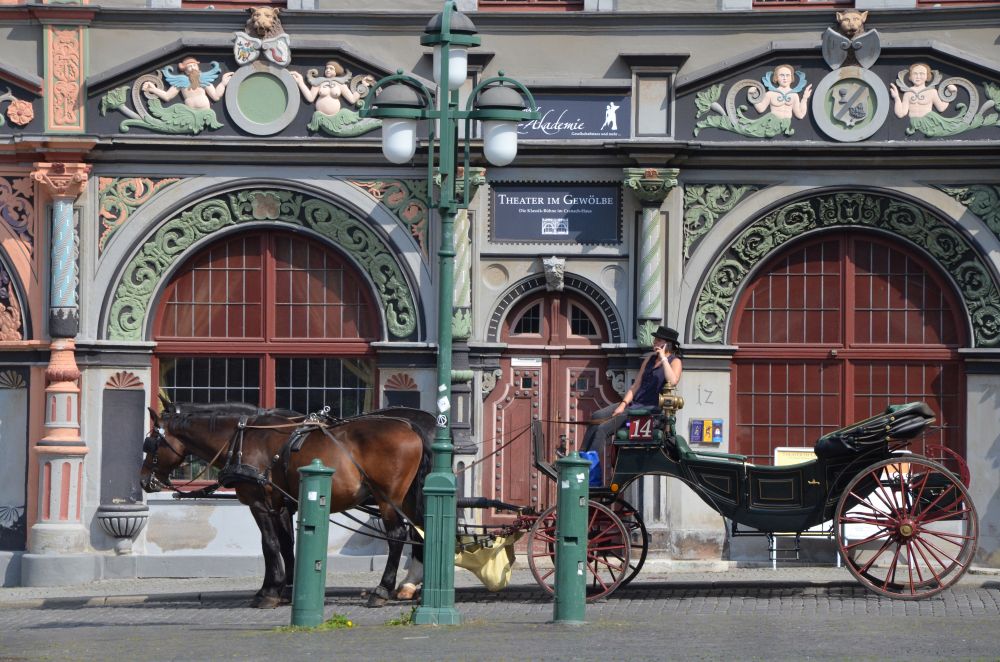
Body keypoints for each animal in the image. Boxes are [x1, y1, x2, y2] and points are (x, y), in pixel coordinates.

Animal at [140, 400, 434, 609]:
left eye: (150, 443)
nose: (144, 481)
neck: (243, 439)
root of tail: (412, 428)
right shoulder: (282, 505)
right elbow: (285, 544)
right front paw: (288, 588)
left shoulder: (259, 503)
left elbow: (269, 544)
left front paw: (269, 592)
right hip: (407, 499)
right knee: (423, 533)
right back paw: (417, 589)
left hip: (387, 498)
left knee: (398, 536)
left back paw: (383, 589)